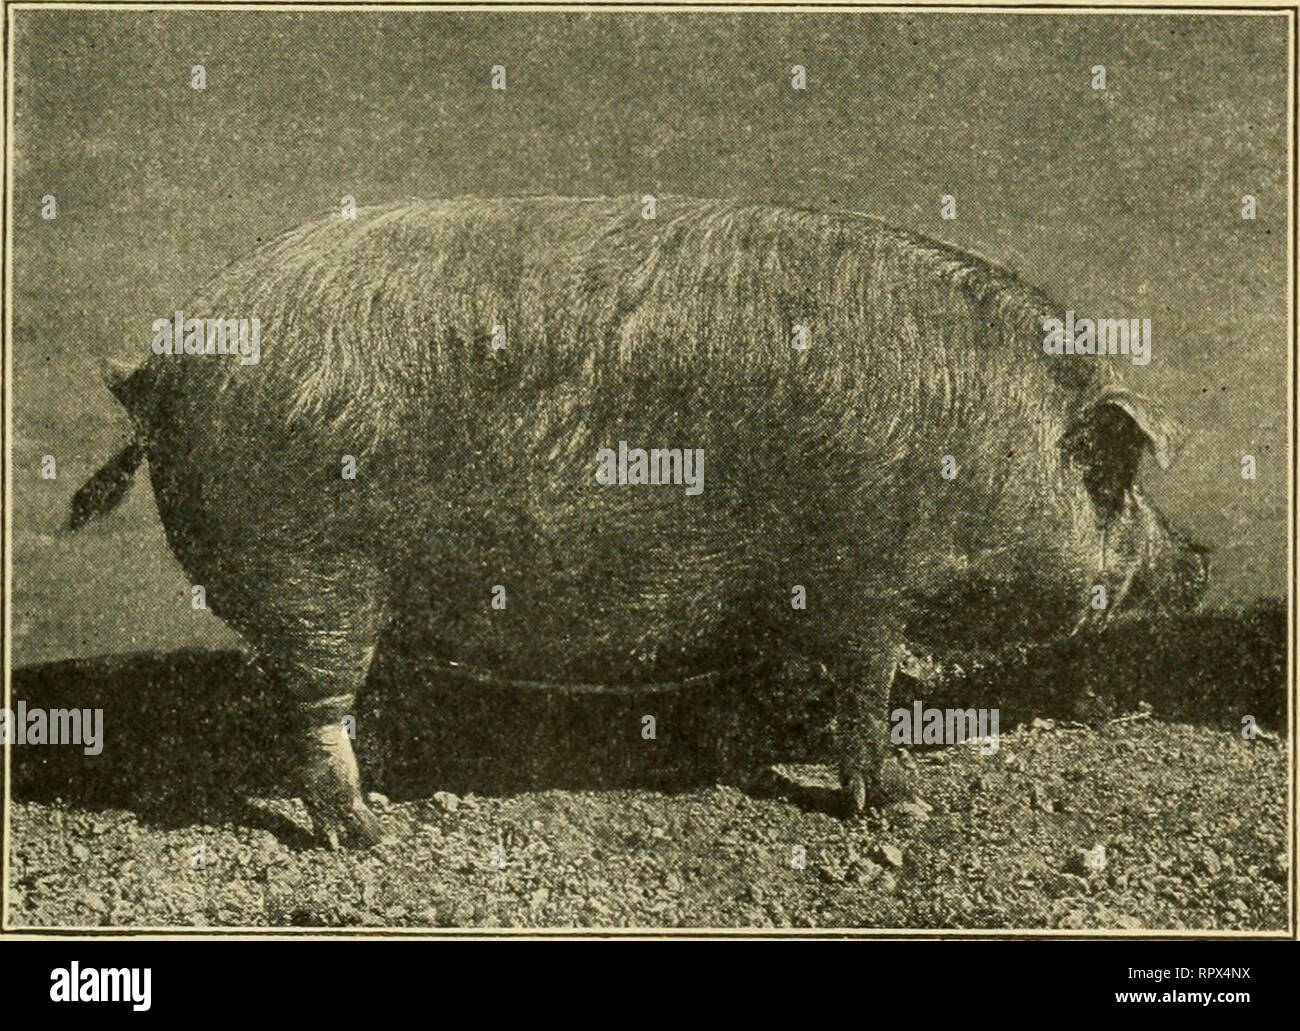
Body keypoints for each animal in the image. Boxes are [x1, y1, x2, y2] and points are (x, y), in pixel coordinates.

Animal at [71, 197, 1206, 847]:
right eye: (1116, 478)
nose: (1200, 557)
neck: (978, 447)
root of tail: (159, 367)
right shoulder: (863, 589)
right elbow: (863, 702)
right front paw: (901, 803)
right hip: (316, 579)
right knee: (313, 715)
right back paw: (372, 835)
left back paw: (395, 792)